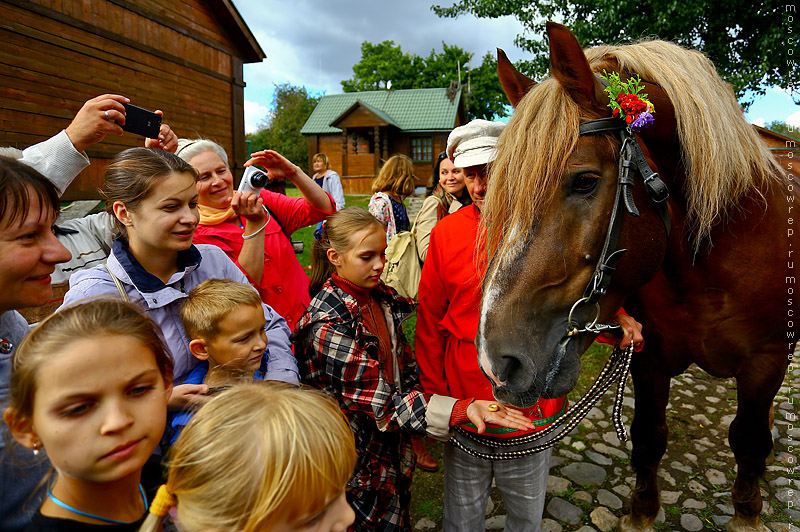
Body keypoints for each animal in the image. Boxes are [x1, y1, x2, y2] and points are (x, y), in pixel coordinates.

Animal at [476, 20, 792, 532]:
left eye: (585, 180)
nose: (496, 361)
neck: (707, 263)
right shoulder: (651, 355)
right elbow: (648, 436)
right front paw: (641, 512)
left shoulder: (768, 360)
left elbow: (747, 440)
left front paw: (747, 512)